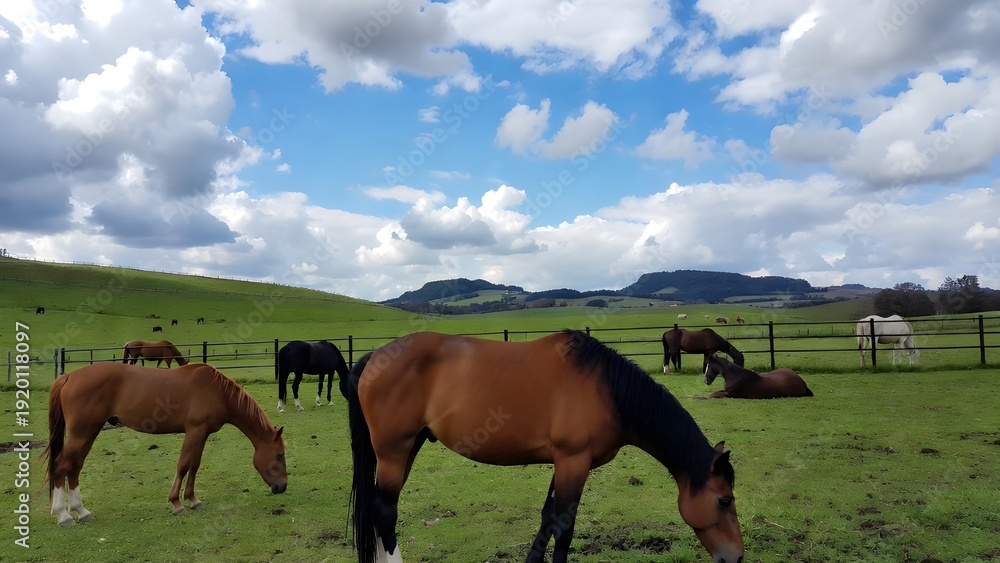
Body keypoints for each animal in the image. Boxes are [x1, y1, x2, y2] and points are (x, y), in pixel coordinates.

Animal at [43, 362, 286, 527]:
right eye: (280, 455)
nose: (282, 487)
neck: (218, 392)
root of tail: (69, 377)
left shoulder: (202, 434)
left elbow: (194, 465)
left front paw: (193, 500)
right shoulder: (194, 431)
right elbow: (183, 465)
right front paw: (177, 503)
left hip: (89, 432)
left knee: (75, 467)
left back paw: (81, 511)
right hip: (81, 433)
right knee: (62, 465)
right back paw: (63, 515)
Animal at [347, 330, 743, 563]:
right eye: (724, 500)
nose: (737, 557)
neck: (608, 389)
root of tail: (375, 356)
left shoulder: (565, 463)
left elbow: (547, 519)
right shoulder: (573, 461)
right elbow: (563, 528)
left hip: (407, 448)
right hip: (394, 451)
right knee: (385, 512)